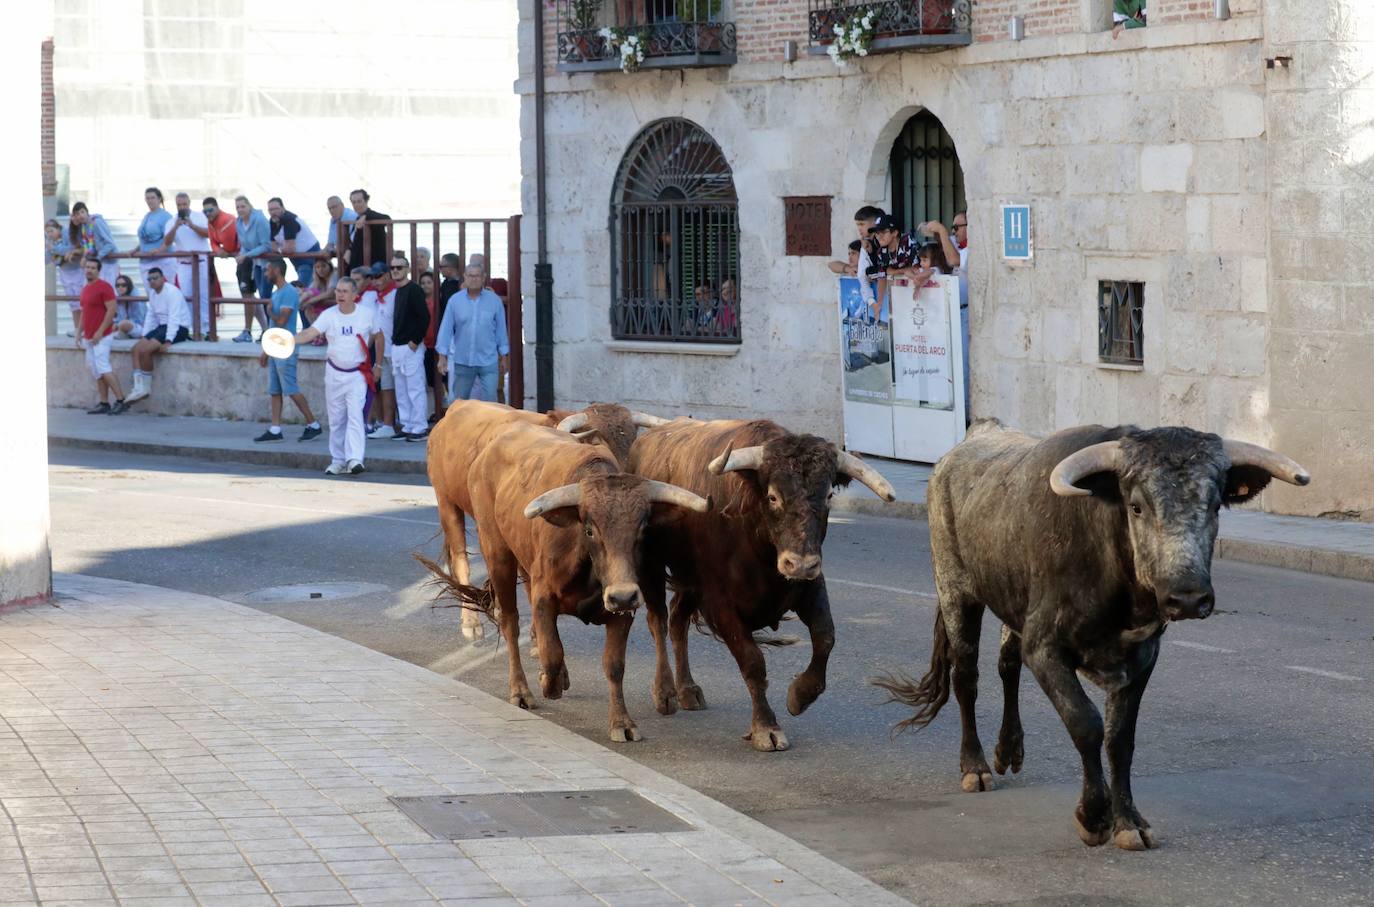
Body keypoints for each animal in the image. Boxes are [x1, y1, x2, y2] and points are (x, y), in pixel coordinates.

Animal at [428, 401, 665, 640]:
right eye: (598, 439)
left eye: (632, 440)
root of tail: (457, 406)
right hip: (447, 502)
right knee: (461, 559)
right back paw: (471, 623)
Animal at [456, 420, 708, 742]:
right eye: (589, 530)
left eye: (642, 528)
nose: (622, 595)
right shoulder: (545, 597)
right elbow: (551, 651)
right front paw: (549, 683)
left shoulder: (622, 611)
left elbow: (614, 665)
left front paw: (622, 722)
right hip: (497, 553)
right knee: (510, 622)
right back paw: (521, 691)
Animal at [629, 417, 895, 753]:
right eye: (773, 497)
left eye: (828, 496)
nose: (800, 564)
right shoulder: (719, 603)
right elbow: (752, 661)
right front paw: (766, 727)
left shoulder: (810, 587)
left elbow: (825, 637)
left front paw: (800, 695)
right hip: (651, 566)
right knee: (659, 620)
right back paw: (665, 693)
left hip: (690, 581)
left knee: (677, 620)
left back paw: (688, 689)